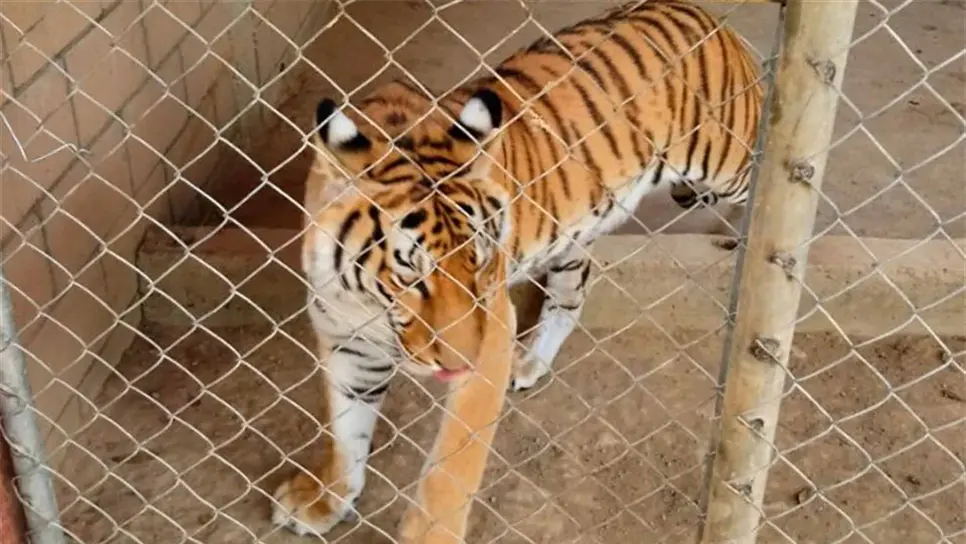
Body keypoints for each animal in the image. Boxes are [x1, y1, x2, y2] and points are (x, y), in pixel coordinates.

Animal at [271, 0, 781, 538]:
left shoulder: (491, 333)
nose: (460, 363)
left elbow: (451, 472)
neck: (364, 302)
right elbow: (345, 432)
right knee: (570, 299)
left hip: (728, 161)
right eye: (411, 274)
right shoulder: (345, 338)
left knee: (770, 177)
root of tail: (706, 14)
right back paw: (532, 361)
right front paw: (324, 500)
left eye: (478, 261)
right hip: (575, 235)